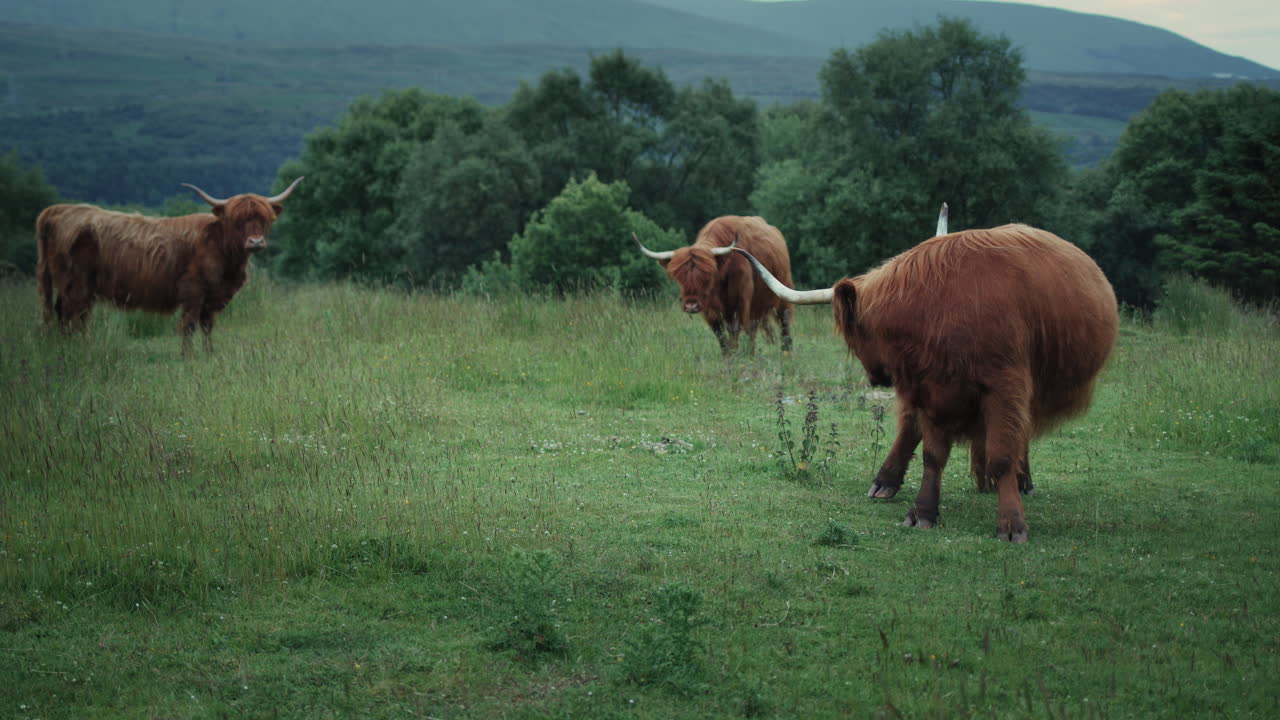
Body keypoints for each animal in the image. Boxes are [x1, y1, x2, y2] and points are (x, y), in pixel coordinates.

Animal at [36, 177, 302, 355]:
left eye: (264, 219)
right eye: (237, 220)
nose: (255, 242)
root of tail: (57, 210)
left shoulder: (212, 297)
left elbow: (207, 326)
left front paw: (209, 353)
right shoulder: (194, 291)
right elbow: (189, 324)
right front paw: (188, 356)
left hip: (69, 287)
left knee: (64, 314)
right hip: (78, 286)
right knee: (74, 317)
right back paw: (79, 349)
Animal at [636, 215, 794, 355]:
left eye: (707, 277)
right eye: (680, 279)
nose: (691, 306)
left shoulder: (739, 305)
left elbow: (734, 332)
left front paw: (736, 355)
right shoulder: (711, 310)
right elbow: (721, 336)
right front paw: (728, 356)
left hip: (781, 294)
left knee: (783, 324)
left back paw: (785, 352)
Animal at [736, 222, 1118, 542]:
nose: (875, 377)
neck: (933, 310)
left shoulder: (1005, 385)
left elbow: (1001, 455)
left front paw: (1011, 524)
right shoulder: (930, 391)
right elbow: (932, 455)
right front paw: (923, 512)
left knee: (1015, 435)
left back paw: (1021, 482)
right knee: (911, 429)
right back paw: (885, 482)